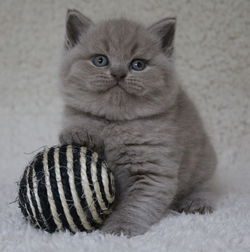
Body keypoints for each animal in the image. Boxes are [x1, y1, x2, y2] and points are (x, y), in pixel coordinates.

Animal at [58, 9, 217, 236]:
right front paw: (80, 134)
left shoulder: (154, 174)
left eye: (138, 64)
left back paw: (197, 202)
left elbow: (135, 205)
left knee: (206, 185)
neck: (114, 122)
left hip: (204, 162)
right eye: (100, 60)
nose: (118, 73)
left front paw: (119, 228)